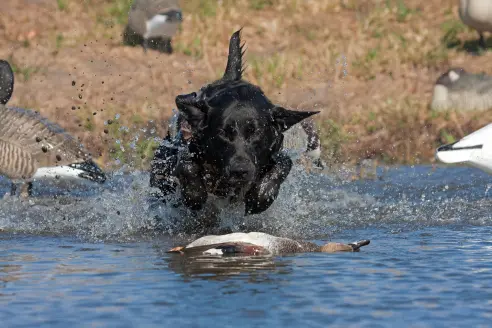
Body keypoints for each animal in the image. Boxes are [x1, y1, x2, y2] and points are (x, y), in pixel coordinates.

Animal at [150, 29, 320, 223]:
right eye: (223, 133)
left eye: (255, 133)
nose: (240, 171)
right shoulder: (187, 147)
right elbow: (186, 165)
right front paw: (194, 194)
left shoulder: (276, 153)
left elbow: (284, 164)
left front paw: (260, 198)